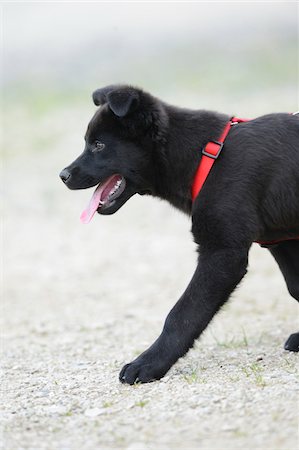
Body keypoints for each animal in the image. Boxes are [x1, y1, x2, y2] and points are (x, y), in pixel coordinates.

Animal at [59, 83, 299, 384]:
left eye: (98, 145)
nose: (63, 175)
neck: (206, 158)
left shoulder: (222, 253)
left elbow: (181, 314)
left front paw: (148, 364)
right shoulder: (280, 241)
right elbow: (296, 287)